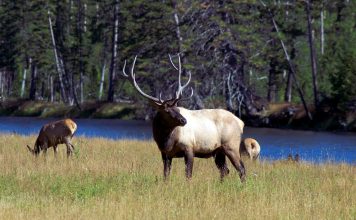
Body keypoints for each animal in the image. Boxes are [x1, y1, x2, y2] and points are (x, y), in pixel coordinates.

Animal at [121, 54, 246, 182]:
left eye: (177, 109)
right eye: (167, 111)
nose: (184, 120)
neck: (166, 141)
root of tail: (240, 122)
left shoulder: (189, 147)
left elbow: (188, 174)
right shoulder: (165, 154)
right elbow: (166, 174)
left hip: (231, 145)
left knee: (241, 168)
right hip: (218, 150)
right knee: (225, 170)